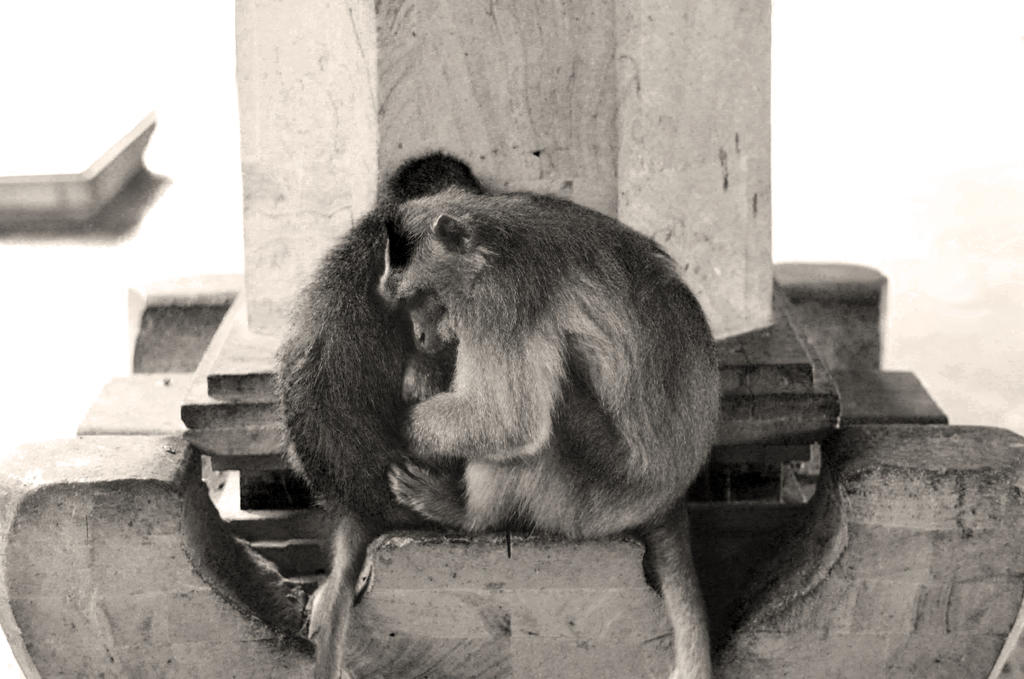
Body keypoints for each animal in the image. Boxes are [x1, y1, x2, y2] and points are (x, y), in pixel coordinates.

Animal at [381, 184, 720, 679]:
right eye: (405, 305)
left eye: (421, 298)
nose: (421, 337)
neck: (490, 245)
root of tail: (670, 494)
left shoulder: (497, 304)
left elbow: (507, 420)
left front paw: (393, 423)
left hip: (590, 499)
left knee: (548, 413)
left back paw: (466, 514)